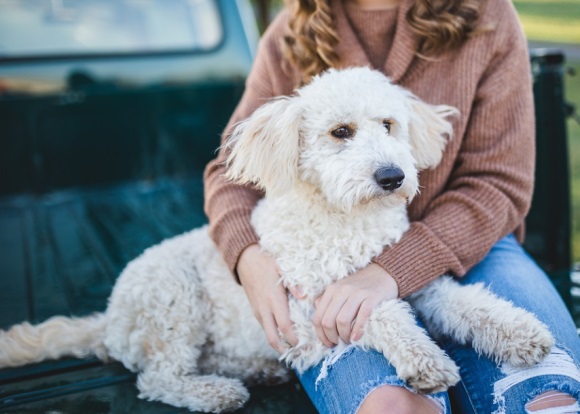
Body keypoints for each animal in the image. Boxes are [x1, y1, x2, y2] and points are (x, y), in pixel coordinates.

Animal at [0, 67, 552, 410]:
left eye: (389, 124)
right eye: (340, 131)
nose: (393, 176)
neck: (345, 218)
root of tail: (109, 319)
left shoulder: (414, 282)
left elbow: (469, 304)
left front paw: (523, 332)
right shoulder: (311, 309)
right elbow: (381, 314)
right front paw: (425, 360)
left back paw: (258, 372)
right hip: (174, 299)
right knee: (156, 379)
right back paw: (214, 394)